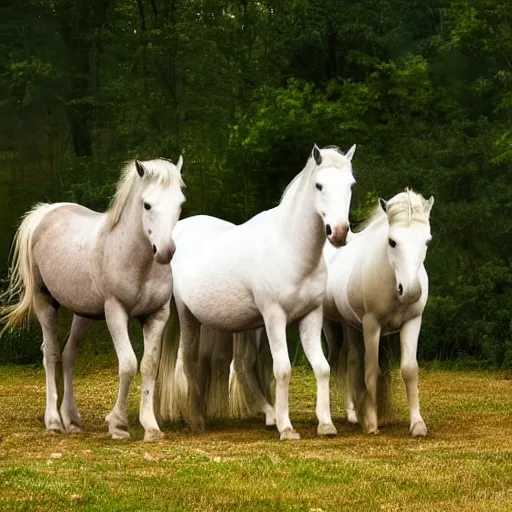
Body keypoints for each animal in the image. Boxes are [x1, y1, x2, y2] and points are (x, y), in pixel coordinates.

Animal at [0, 157, 184, 440]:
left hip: (82, 314)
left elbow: (149, 366)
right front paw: (118, 424)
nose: (165, 252)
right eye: (147, 204)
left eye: (180, 204)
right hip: (45, 303)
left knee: (68, 355)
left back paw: (72, 420)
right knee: (51, 354)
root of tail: (46, 213)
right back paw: (54, 421)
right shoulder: (115, 312)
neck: (136, 261)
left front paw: (151, 427)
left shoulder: (157, 315)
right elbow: (128, 364)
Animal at [157, 144, 356, 440]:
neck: (290, 248)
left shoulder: (311, 316)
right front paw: (287, 428)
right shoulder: (274, 318)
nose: (339, 232)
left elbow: (322, 368)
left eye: (351, 185)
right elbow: (282, 370)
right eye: (319, 185)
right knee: (184, 363)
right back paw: (193, 419)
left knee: (237, 367)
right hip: (185, 316)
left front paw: (326, 424)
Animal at [324, 188, 432, 436]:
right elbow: (371, 370)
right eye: (392, 241)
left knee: (351, 361)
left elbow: (410, 370)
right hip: (335, 326)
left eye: (427, 241)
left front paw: (417, 424)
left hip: (351, 327)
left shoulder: (413, 322)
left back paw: (353, 415)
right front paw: (372, 423)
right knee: (340, 363)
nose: (410, 291)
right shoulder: (371, 324)